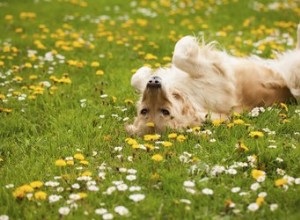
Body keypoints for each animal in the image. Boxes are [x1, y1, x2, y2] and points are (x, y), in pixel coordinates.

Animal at [126, 23, 300, 134]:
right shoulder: (216, 73)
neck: (188, 96)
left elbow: (135, 78)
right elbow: (180, 56)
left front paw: (145, 71)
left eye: (143, 110)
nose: (153, 82)